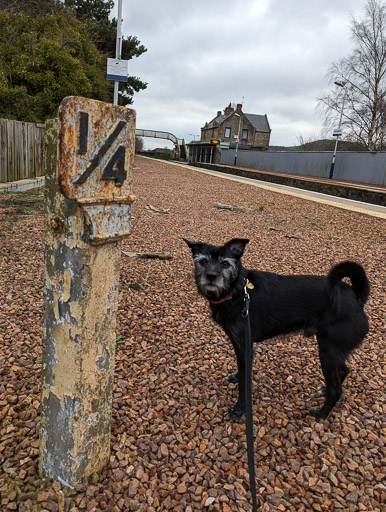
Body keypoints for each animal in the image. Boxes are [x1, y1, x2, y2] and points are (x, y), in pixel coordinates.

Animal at [185, 237, 370, 420]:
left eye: (225, 263)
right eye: (203, 261)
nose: (211, 276)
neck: (237, 291)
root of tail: (356, 297)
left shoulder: (244, 345)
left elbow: (245, 384)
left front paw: (238, 410)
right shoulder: (241, 346)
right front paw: (237, 378)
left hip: (328, 353)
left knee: (336, 390)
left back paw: (321, 414)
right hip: (333, 350)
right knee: (344, 370)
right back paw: (325, 391)